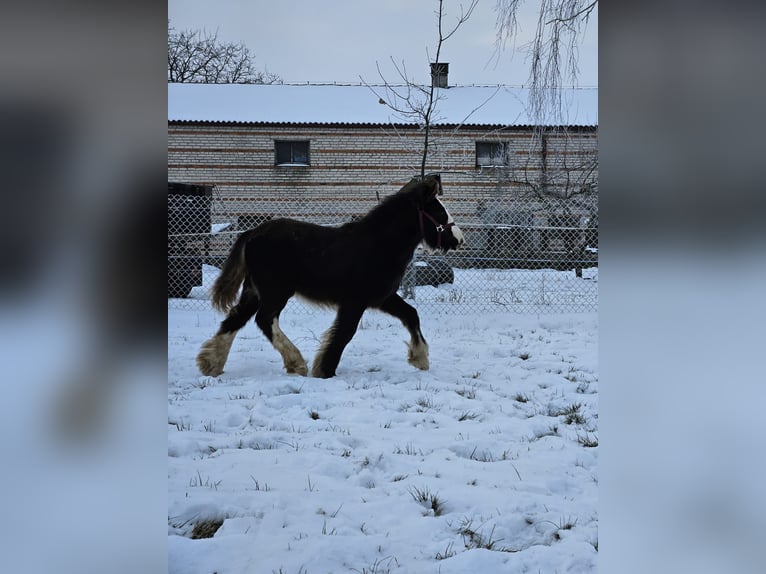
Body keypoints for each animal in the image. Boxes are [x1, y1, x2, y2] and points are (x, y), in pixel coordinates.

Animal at [195, 176, 464, 382]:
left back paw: (211, 364)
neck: (379, 245)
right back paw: (296, 363)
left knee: (235, 319)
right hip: (275, 291)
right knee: (264, 320)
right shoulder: (355, 301)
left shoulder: (383, 297)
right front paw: (325, 370)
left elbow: (411, 315)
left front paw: (420, 359)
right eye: (439, 212)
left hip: (253, 291)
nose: (459, 239)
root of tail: (252, 233)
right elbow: (344, 333)